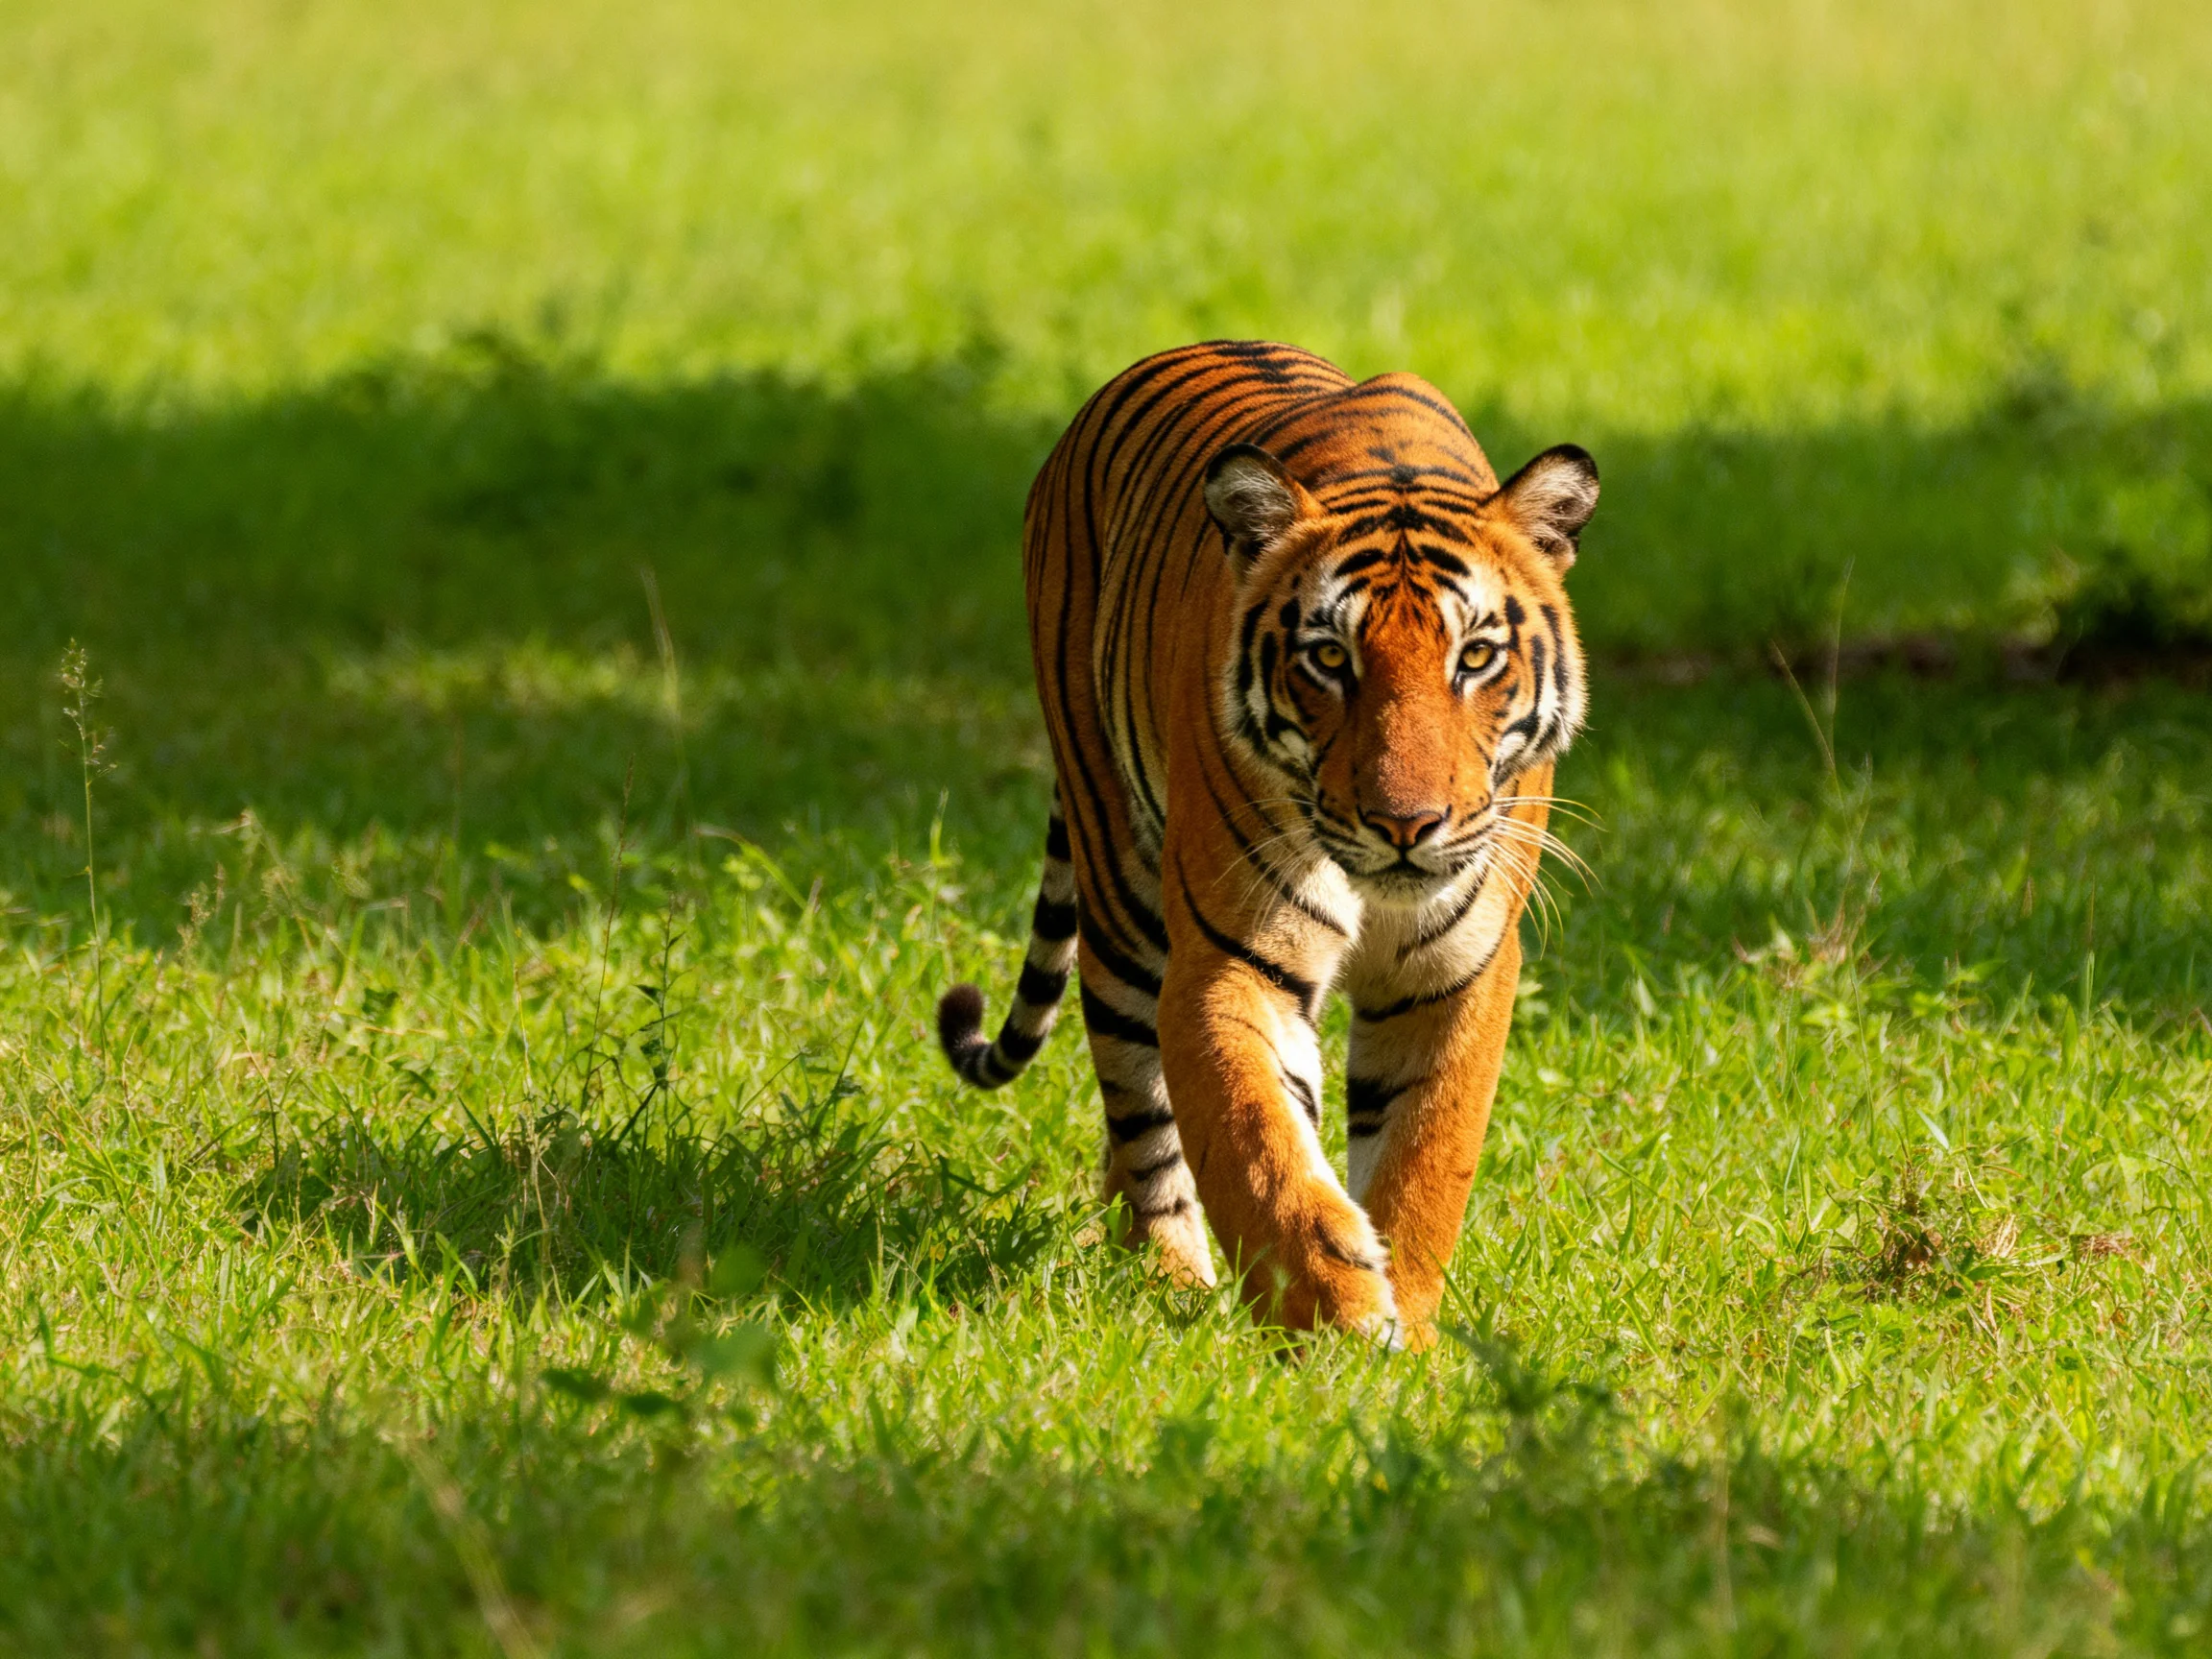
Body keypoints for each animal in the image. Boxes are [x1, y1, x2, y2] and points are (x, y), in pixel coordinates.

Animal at [937, 340, 1596, 1348]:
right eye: (1329, 659)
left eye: (1476, 657)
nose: (1405, 825)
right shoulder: (1227, 959)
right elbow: (1259, 1143)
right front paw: (1339, 1325)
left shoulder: (1458, 972)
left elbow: (1422, 1161)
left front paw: (1407, 1330)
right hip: (1119, 892)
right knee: (1143, 1125)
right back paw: (1170, 1279)